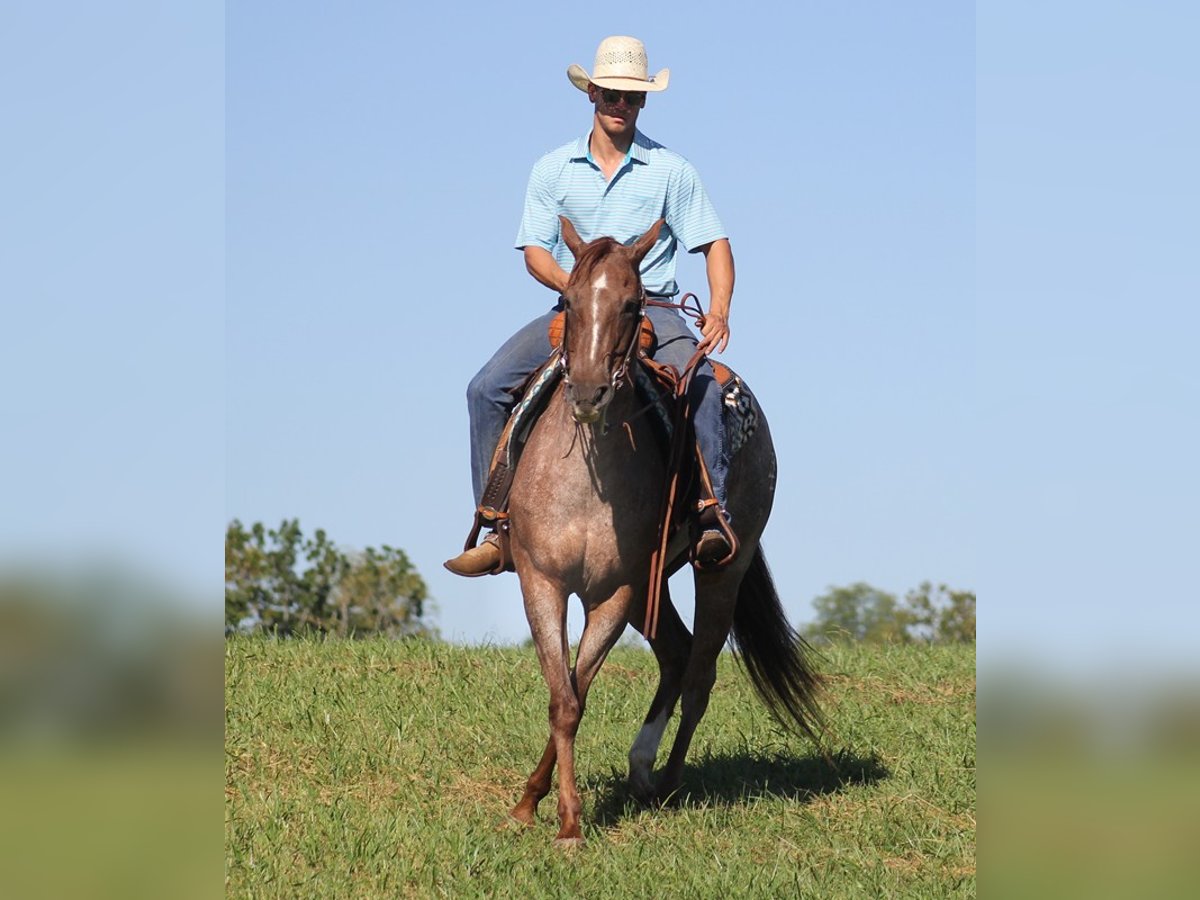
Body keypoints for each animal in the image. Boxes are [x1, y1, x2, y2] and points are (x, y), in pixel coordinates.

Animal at [506, 213, 825, 844]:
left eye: (633, 305)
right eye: (570, 301)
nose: (588, 391)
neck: (586, 480)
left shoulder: (615, 591)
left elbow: (574, 694)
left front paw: (569, 822)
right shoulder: (543, 583)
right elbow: (564, 694)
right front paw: (533, 803)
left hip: (722, 568)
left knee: (700, 671)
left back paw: (671, 784)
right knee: (677, 654)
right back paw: (640, 769)